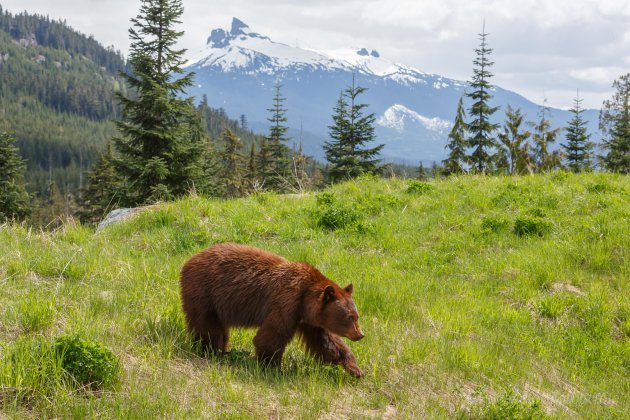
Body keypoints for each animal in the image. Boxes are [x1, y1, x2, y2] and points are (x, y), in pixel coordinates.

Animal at [178, 243, 366, 378]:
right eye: (349, 317)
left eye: (356, 316)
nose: (360, 334)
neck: (305, 296)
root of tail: (188, 261)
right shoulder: (286, 302)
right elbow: (272, 335)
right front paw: (272, 368)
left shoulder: (309, 319)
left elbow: (325, 341)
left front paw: (355, 369)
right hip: (203, 292)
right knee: (207, 326)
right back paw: (210, 351)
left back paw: (222, 350)